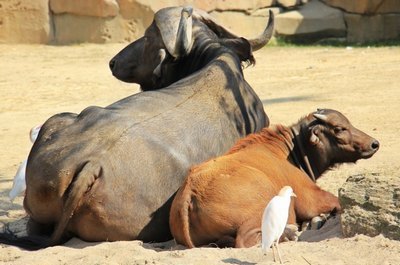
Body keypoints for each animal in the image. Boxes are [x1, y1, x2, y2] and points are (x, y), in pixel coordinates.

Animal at [169, 108, 378, 248]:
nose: (374, 144)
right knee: (246, 240)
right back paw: (289, 234)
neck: (289, 151)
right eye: (339, 128)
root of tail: (191, 192)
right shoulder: (312, 198)